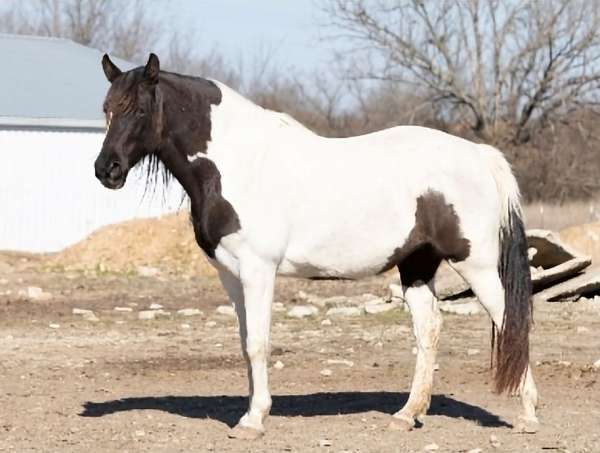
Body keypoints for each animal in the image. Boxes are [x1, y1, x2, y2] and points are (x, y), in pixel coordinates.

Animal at [92, 53, 540, 438]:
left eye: (140, 109)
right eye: (107, 108)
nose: (106, 170)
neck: (239, 164)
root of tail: (480, 156)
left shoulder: (259, 270)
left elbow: (258, 344)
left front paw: (253, 421)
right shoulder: (231, 276)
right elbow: (245, 343)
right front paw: (252, 411)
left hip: (476, 265)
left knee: (509, 322)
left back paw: (528, 415)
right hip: (416, 265)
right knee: (429, 329)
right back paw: (407, 414)